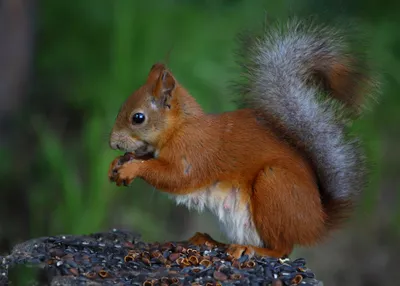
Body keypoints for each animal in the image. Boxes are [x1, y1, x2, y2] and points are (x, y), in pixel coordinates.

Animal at [108, 17, 376, 260]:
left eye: (138, 118)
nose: (112, 143)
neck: (180, 127)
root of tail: (317, 223)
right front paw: (117, 163)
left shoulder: (193, 152)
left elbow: (174, 176)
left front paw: (132, 168)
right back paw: (211, 241)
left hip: (274, 186)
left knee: (281, 248)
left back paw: (251, 249)